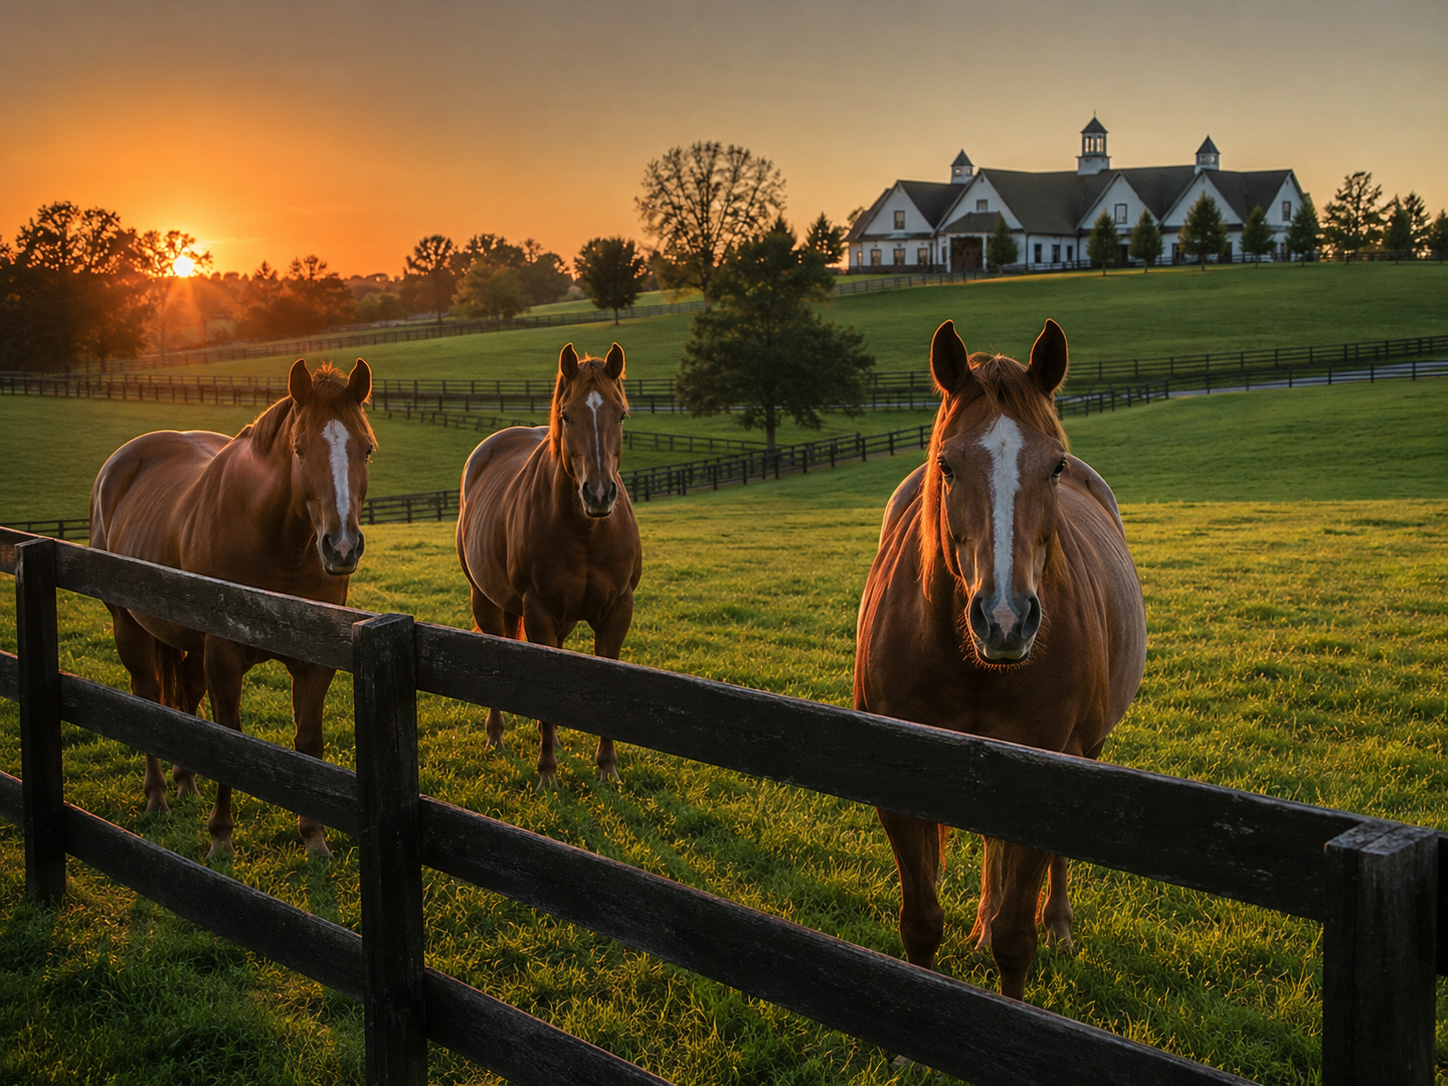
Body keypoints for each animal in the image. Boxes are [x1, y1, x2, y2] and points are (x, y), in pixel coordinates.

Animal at [89, 359, 375, 859]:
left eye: (367, 450)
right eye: (299, 449)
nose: (341, 547)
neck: (277, 544)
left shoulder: (314, 662)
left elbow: (309, 741)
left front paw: (315, 838)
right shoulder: (222, 654)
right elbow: (230, 739)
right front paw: (220, 836)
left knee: (183, 696)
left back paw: (185, 782)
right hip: (130, 627)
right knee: (148, 699)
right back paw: (158, 795)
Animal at [456, 342, 641, 788]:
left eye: (620, 414)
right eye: (566, 415)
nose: (598, 493)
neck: (587, 531)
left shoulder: (617, 611)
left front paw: (607, 769)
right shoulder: (538, 610)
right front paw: (547, 773)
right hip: (486, 601)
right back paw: (496, 737)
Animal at [854, 319, 1146, 1000]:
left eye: (1054, 464)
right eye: (947, 464)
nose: (1006, 617)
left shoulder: (1042, 769)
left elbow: (1017, 939)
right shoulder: (896, 780)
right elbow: (920, 923)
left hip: (1083, 750)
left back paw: (1058, 924)